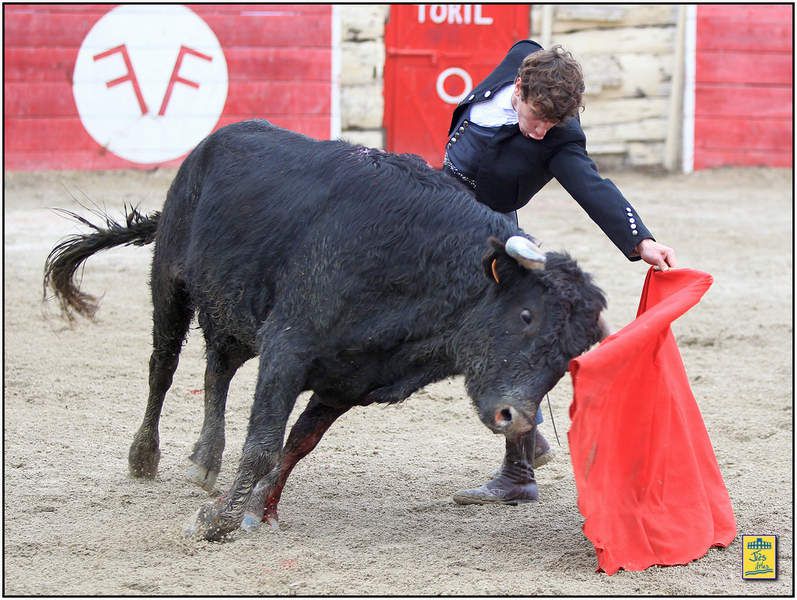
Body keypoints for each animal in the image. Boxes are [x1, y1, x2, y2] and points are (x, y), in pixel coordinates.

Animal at [43, 119, 604, 540]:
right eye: (527, 316)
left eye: (567, 358)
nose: (517, 418)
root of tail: (207, 147)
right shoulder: (287, 347)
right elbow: (263, 444)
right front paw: (215, 522)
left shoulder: (346, 382)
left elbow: (295, 445)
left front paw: (258, 511)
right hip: (170, 282)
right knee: (162, 366)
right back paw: (145, 456)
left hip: (234, 311)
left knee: (217, 370)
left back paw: (205, 460)